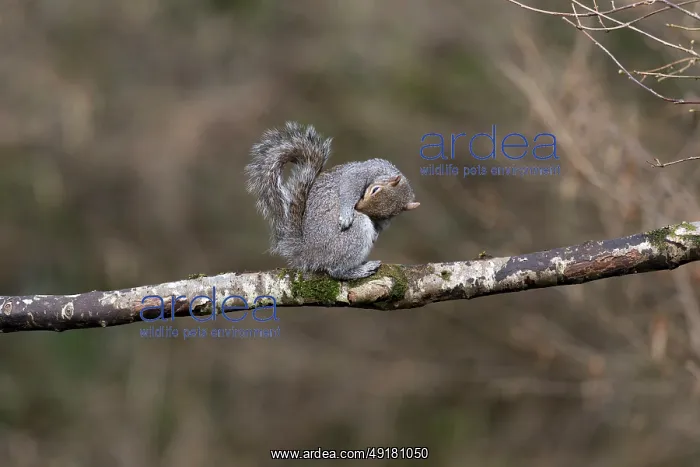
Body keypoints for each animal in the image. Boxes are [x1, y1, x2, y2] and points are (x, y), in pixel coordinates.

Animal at [244, 121, 420, 280]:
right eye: (374, 189)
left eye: (385, 214)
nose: (357, 208)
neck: (384, 173)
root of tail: (310, 253)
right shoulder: (361, 172)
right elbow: (349, 185)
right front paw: (347, 213)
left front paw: (376, 232)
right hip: (353, 233)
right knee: (336, 270)